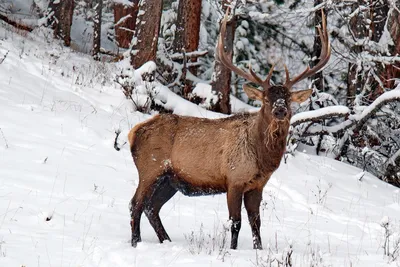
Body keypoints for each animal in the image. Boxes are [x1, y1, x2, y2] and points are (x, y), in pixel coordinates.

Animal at [128, 9, 332, 250]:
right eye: (266, 99)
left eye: (289, 99)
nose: (280, 110)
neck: (262, 158)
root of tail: (133, 133)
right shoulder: (234, 179)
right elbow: (235, 222)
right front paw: (233, 249)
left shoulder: (257, 186)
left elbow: (256, 222)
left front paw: (258, 249)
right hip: (149, 168)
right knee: (135, 203)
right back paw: (136, 242)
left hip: (170, 180)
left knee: (152, 207)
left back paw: (165, 241)